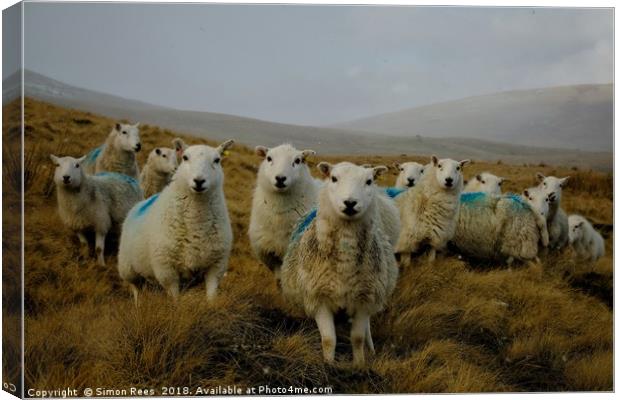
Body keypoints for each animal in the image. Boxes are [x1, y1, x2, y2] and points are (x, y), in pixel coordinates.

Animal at [117, 140, 234, 304]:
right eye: (185, 157)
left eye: (217, 160)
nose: (199, 181)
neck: (197, 222)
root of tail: (140, 204)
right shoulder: (167, 271)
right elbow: (175, 299)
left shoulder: (216, 267)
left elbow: (211, 296)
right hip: (128, 269)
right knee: (136, 290)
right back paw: (138, 305)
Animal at [280, 162, 398, 366]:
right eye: (334, 178)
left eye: (369, 181)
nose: (350, 203)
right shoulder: (319, 298)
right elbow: (328, 339)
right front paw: (328, 364)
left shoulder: (363, 300)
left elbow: (357, 338)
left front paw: (360, 365)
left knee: (367, 329)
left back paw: (371, 349)